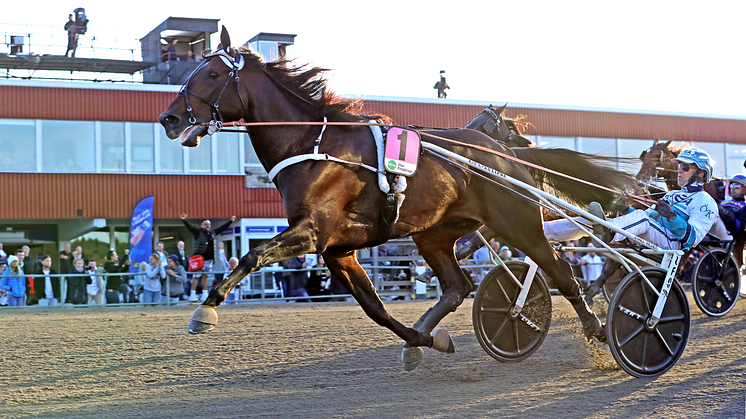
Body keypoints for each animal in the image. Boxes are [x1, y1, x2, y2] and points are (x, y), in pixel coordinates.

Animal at [160, 27, 636, 370]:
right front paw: (423, 341)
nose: (168, 118)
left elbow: (251, 255)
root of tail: (503, 154)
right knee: (458, 287)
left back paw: (598, 329)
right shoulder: (338, 249)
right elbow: (376, 310)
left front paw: (205, 310)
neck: (313, 144)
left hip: (518, 223)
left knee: (561, 273)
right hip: (434, 234)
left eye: (213, 75)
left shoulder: (312, 234)